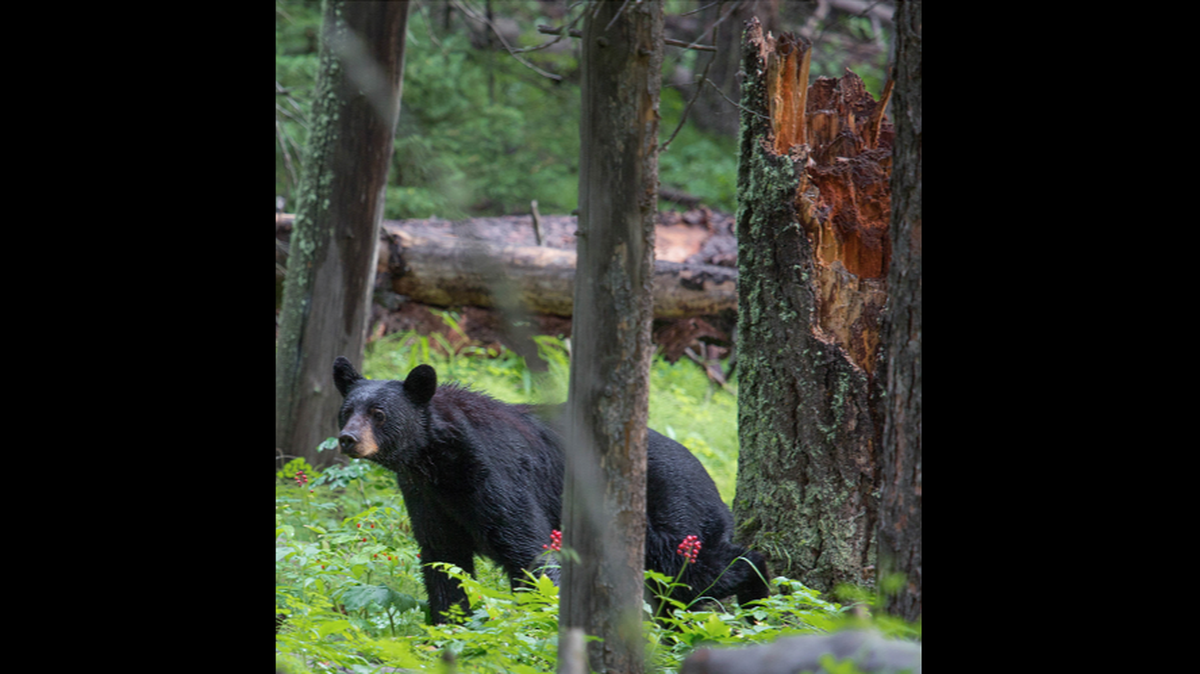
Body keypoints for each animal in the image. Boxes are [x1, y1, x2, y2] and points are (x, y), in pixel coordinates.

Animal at [333, 357, 768, 623]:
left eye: (379, 413)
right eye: (346, 410)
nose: (348, 439)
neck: (439, 459)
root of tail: (710, 479)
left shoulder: (498, 476)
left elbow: (530, 551)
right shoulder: (426, 497)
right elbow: (443, 561)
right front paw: (447, 627)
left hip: (673, 517)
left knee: (697, 574)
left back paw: (759, 596)